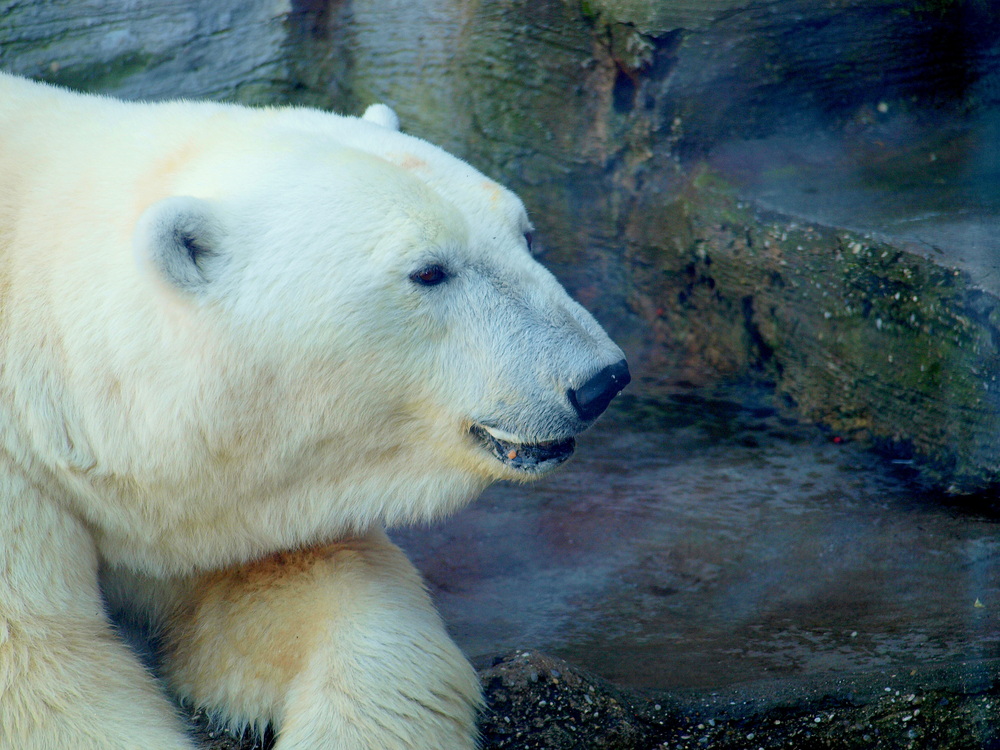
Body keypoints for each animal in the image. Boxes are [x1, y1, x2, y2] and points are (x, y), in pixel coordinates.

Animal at [0, 72, 628, 750]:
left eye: (526, 235)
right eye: (429, 271)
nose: (601, 381)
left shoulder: (201, 502)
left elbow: (314, 592)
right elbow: (46, 675)